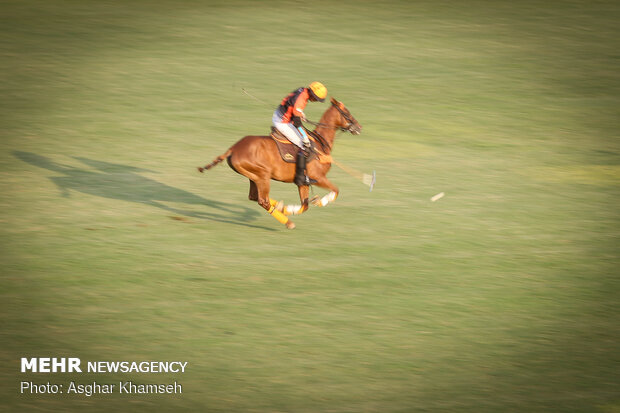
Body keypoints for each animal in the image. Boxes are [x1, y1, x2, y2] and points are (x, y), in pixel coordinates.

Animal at [199, 98, 360, 230]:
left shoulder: (303, 182)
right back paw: (288, 222)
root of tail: (233, 148)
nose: (359, 127)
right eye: (347, 112)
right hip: (263, 175)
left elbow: (305, 205)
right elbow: (335, 191)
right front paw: (318, 202)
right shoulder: (318, 177)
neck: (320, 143)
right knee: (262, 200)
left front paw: (288, 208)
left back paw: (280, 206)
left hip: (253, 177)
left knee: (254, 197)